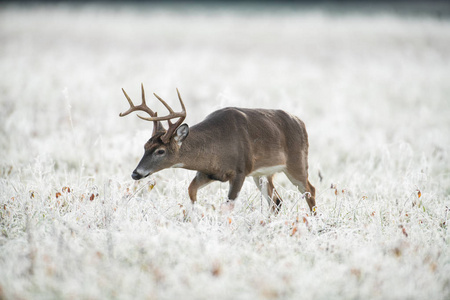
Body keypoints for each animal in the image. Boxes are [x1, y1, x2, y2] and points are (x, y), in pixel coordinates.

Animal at [120, 83, 316, 212]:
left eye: (161, 151)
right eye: (145, 146)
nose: (135, 173)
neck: (218, 145)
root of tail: (300, 122)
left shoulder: (240, 171)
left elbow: (226, 207)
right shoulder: (207, 172)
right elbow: (191, 191)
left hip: (297, 162)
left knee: (310, 190)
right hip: (262, 174)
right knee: (277, 201)